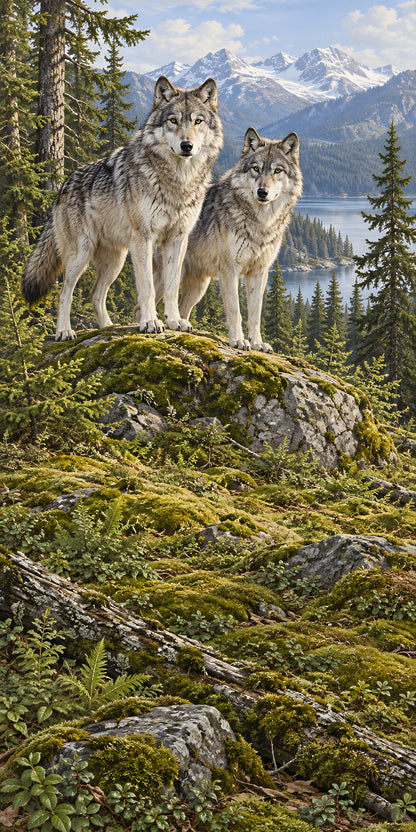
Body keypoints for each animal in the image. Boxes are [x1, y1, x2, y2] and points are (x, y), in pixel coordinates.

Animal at [23, 75, 223, 341]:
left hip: (115, 261)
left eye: (197, 121)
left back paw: (107, 328)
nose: (186, 145)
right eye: (173, 120)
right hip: (81, 255)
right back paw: (64, 331)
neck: (177, 183)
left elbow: (171, 288)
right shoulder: (144, 238)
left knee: (95, 294)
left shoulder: (178, 239)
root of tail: (64, 184)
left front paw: (175, 321)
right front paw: (151, 322)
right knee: (64, 293)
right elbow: (147, 287)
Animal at [153, 127, 302, 352]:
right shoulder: (230, 270)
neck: (260, 223)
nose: (262, 192)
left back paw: (181, 326)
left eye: (277, 171)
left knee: (182, 309)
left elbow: (255, 315)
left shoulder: (259, 273)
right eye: (256, 169)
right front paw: (238, 340)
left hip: (199, 288)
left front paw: (257, 343)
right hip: (169, 280)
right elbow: (235, 311)